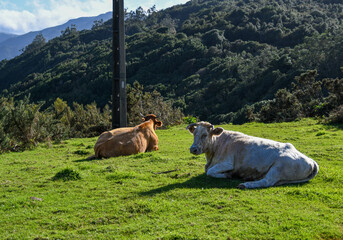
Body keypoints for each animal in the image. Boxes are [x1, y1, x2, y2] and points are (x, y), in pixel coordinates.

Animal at [188, 122, 320, 189]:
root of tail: (311, 161)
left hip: (278, 167)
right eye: (194, 134)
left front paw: (228, 175)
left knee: (267, 181)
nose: (193, 149)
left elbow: (210, 172)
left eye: (205, 135)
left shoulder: (227, 163)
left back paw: (245, 184)